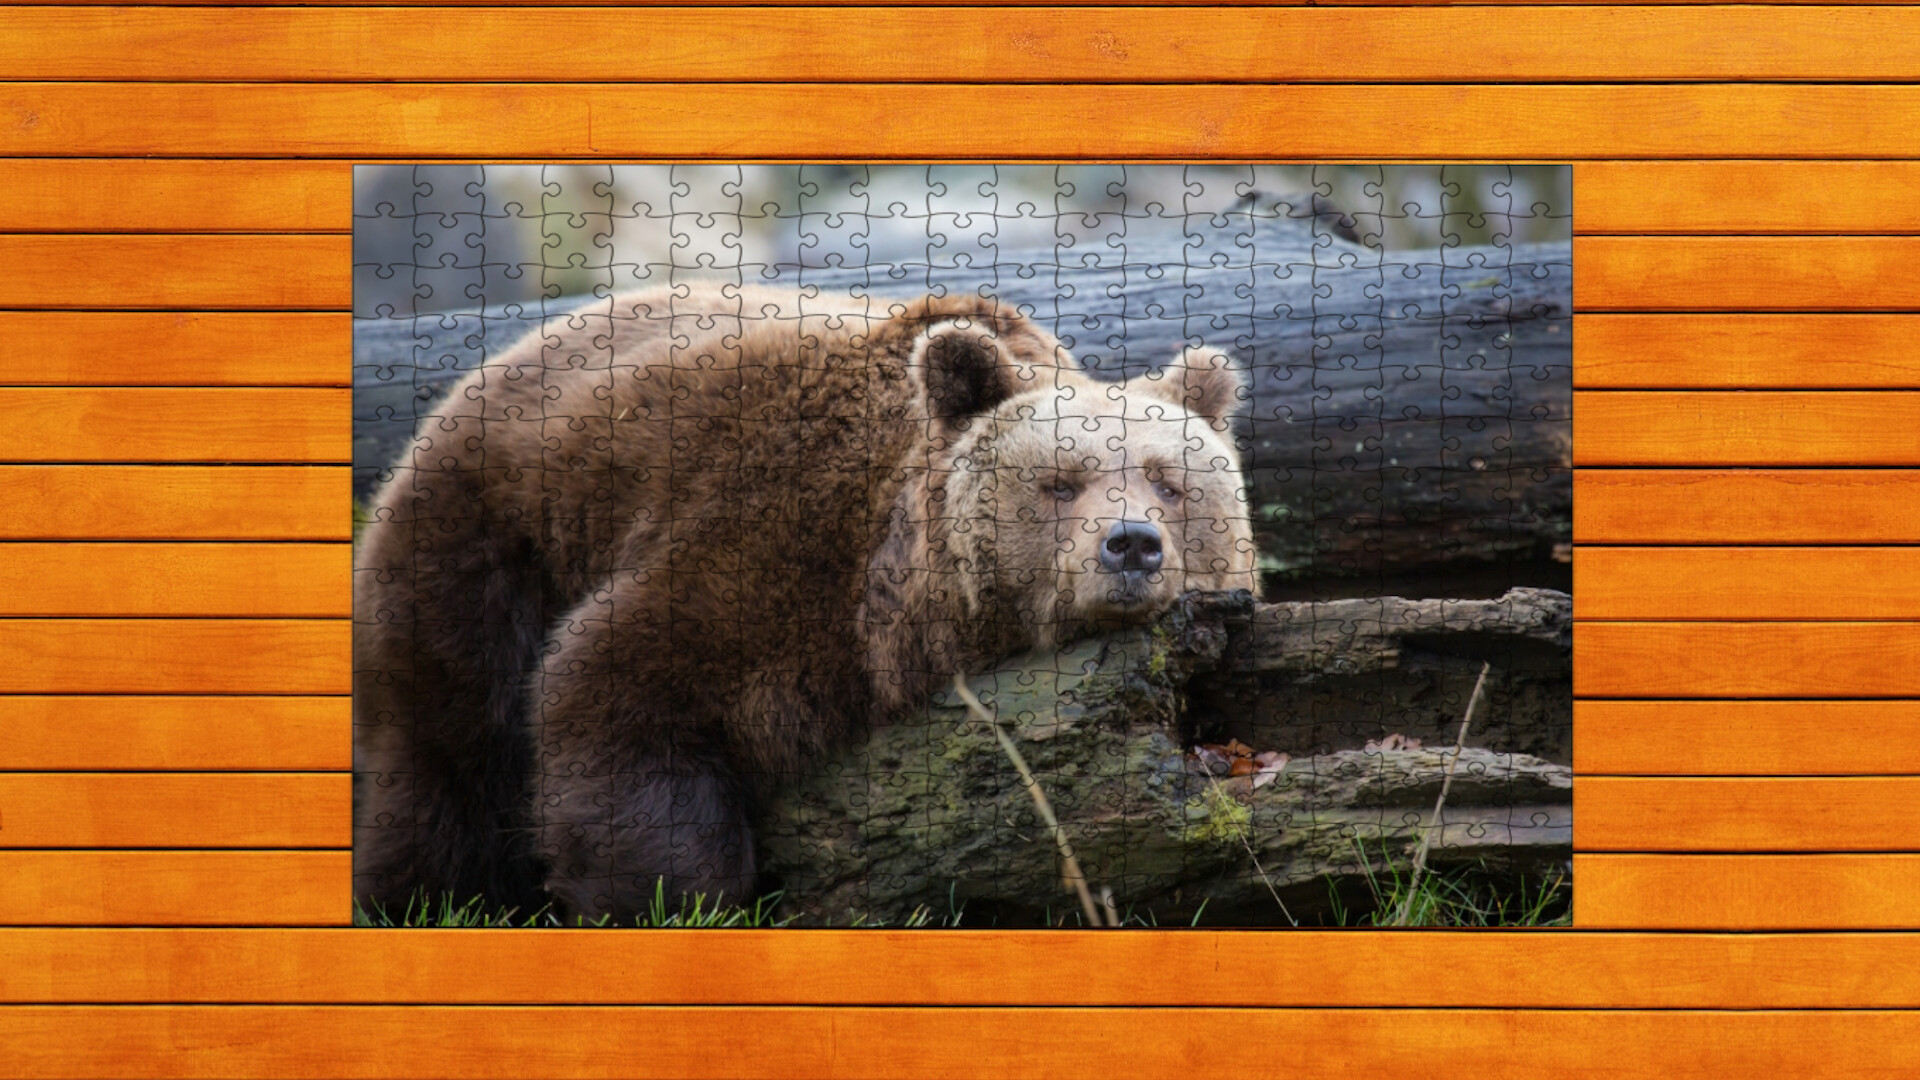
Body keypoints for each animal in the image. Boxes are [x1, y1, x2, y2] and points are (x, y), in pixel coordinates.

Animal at [353, 284, 1255, 921]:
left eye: (1169, 483)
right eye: (1061, 482)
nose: (1131, 544)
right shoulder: (764, 541)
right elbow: (614, 687)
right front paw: (670, 897)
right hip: (491, 535)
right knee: (451, 744)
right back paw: (427, 897)